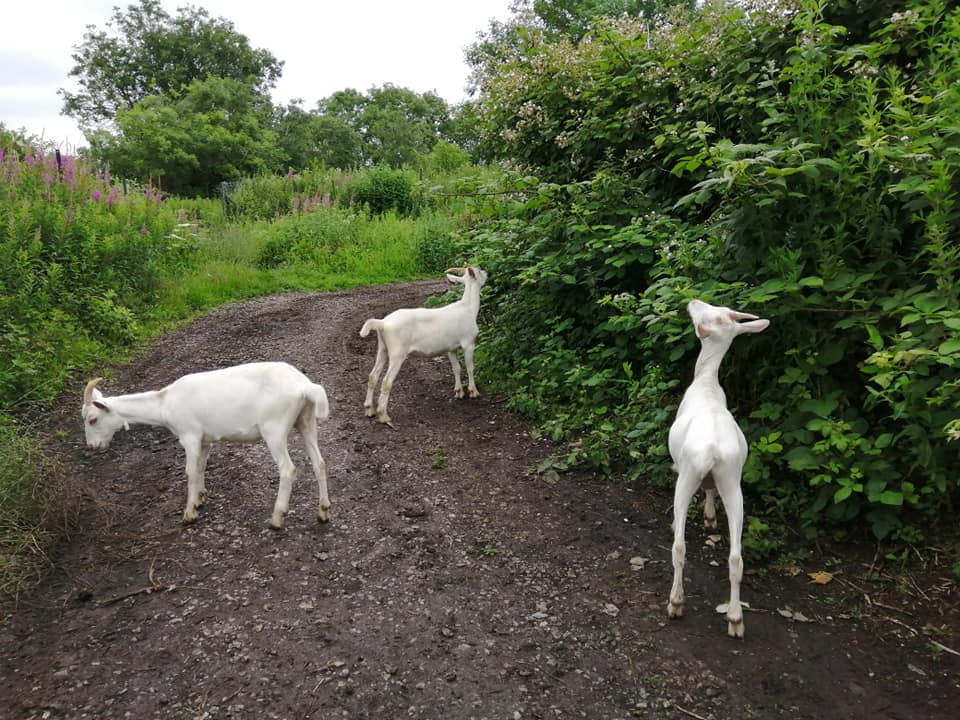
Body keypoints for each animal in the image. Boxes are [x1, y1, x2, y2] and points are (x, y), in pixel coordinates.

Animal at [81, 361, 331, 529]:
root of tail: (304, 386)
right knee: (319, 463)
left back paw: (277, 518)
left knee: (288, 470)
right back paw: (323, 511)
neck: (164, 403)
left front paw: (189, 513)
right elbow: (201, 467)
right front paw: (200, 497)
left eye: (92, 419)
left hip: (274, 428)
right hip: (306, 421)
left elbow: (190, 471)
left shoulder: (189, 436)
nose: (92, 446)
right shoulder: (205, 440)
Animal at [360, 266, 488, 427]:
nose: (487, 273)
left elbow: (456, 368)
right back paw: (383, 416)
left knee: (373, 376)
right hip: (397, 353)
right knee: (386, 382)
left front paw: (459, 392)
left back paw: (369, 410)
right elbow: (470, 368)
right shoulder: (469, 343)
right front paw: (473, 392)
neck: (468, 307)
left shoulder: (451, 348)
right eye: (479, 271)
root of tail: (382, 323)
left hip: (382, 349)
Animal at [667, 299, 769, 638]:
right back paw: (736, 619)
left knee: (679, 546)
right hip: (732, 479)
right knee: (736, 557)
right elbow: (709, 489)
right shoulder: (717, 478)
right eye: (720, 309)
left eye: (707, 313)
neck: (707, 383)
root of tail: (711, 449)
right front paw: (711, 517)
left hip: (686, 475)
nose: (692, 301)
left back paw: (676, 603)